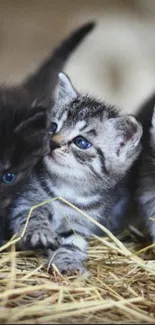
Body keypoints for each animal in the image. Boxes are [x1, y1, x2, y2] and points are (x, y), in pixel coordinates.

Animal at [7, 73, 142, 270]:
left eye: (81, 142)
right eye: (53, 127)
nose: (53, 142)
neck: (68, 188)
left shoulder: (82, 222)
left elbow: (72, 242)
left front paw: (67, 261)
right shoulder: (25, 198)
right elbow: (31, 214)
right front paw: (40, 231)